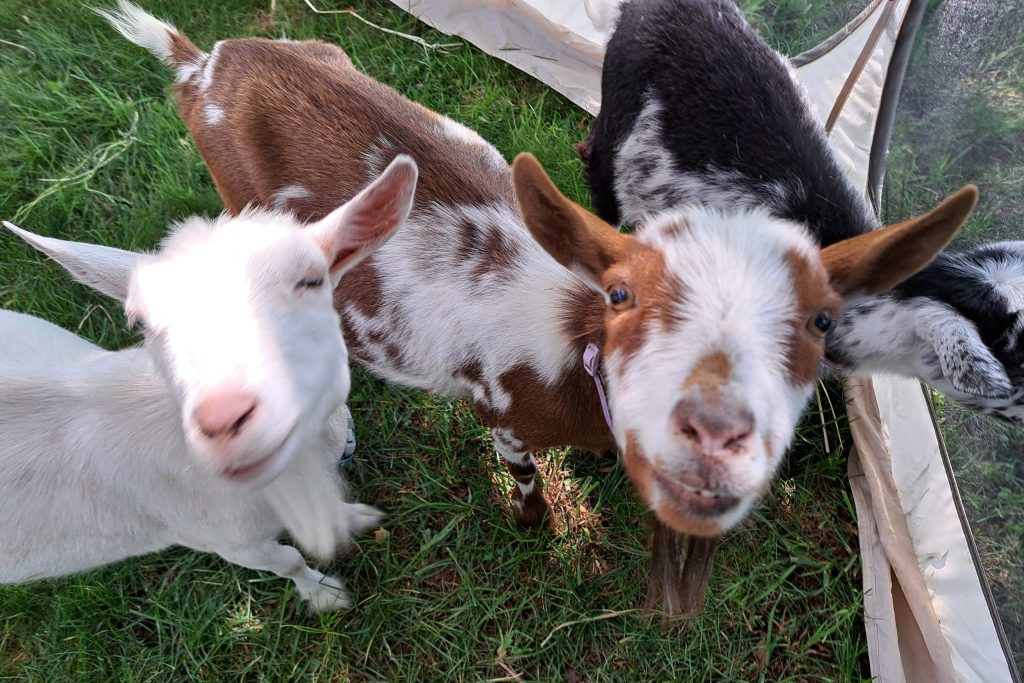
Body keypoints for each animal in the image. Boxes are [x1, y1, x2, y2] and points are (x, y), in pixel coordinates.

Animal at [0, 155, 417, 609]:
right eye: (140, 322)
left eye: (311, 279)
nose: (224, 420)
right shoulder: (228, 541)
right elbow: (288, 562)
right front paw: (324, 595)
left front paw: (357, 518)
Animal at [99, 1, 972, 599]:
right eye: (630, 301)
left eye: (819, 322)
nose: (723, 435)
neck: (571, 349)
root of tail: (200, 63)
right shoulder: (503, 412)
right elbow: (520, 475)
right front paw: (533, 529)